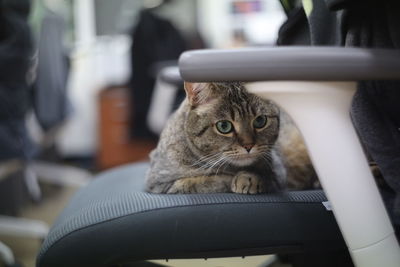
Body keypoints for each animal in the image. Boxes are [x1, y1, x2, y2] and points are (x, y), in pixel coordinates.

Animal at [145, 82, 318, 195]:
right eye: (224, 126)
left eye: (260, 121)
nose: (248, 145)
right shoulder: (160, 183)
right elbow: (209, 180)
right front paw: (241, 178)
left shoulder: (279, 171)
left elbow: (266, 174)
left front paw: (250, 177)